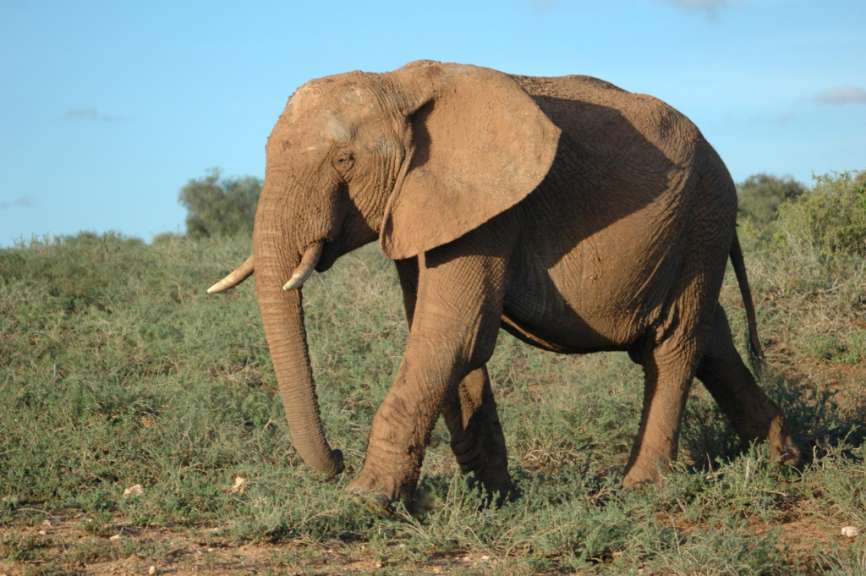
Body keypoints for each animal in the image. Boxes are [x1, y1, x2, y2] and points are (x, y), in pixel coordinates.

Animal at [207, 60, 799, 507]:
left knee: (671, 346)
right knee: (711, 341)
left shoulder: (491, 210)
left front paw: (365, 499)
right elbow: (448, 339)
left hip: (703, 218)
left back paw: (639, 489)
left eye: (345, 160)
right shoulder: (427, 205)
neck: (396, 81)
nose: (334, 459)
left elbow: (451, 335)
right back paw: (786, 459)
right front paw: (496, 496)